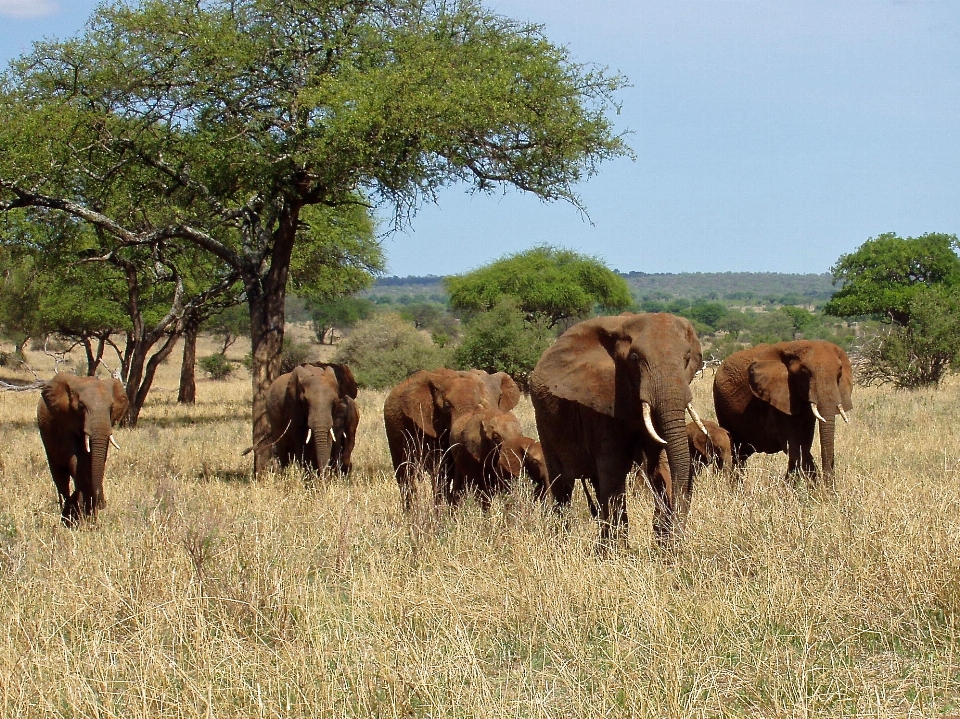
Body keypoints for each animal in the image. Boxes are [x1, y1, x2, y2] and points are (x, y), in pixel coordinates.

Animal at [37, 374, 128, 524]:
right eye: (81, 406)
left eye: (111, 407)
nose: (102, 504)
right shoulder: (66, 422)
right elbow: (76, 462)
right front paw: (80, 514)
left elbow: (98, 460)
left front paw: (89, 515)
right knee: (60, 476)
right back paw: (66, 513)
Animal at [712, 340, 856, 486]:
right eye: (804, 372)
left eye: (839, 372)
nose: (828, 487)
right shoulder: (780, 398)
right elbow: (794, 444)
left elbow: (803, 444)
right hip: (719, 401)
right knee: (733, 449)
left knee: (741, 454)